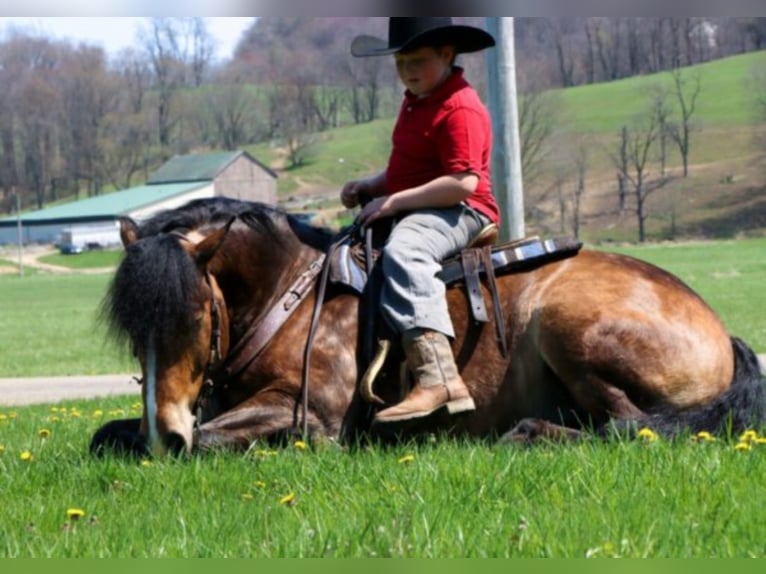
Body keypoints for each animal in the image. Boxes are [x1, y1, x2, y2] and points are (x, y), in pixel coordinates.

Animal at [91, 198, 766, 460]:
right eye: (131, 327)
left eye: (193, 317)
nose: (165, 432)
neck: (291, 295)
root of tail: (719, 330)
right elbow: (107, 435)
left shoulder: (313, 418)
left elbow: (207, 441)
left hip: (570, 327)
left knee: (631, 429)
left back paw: (528, 431)